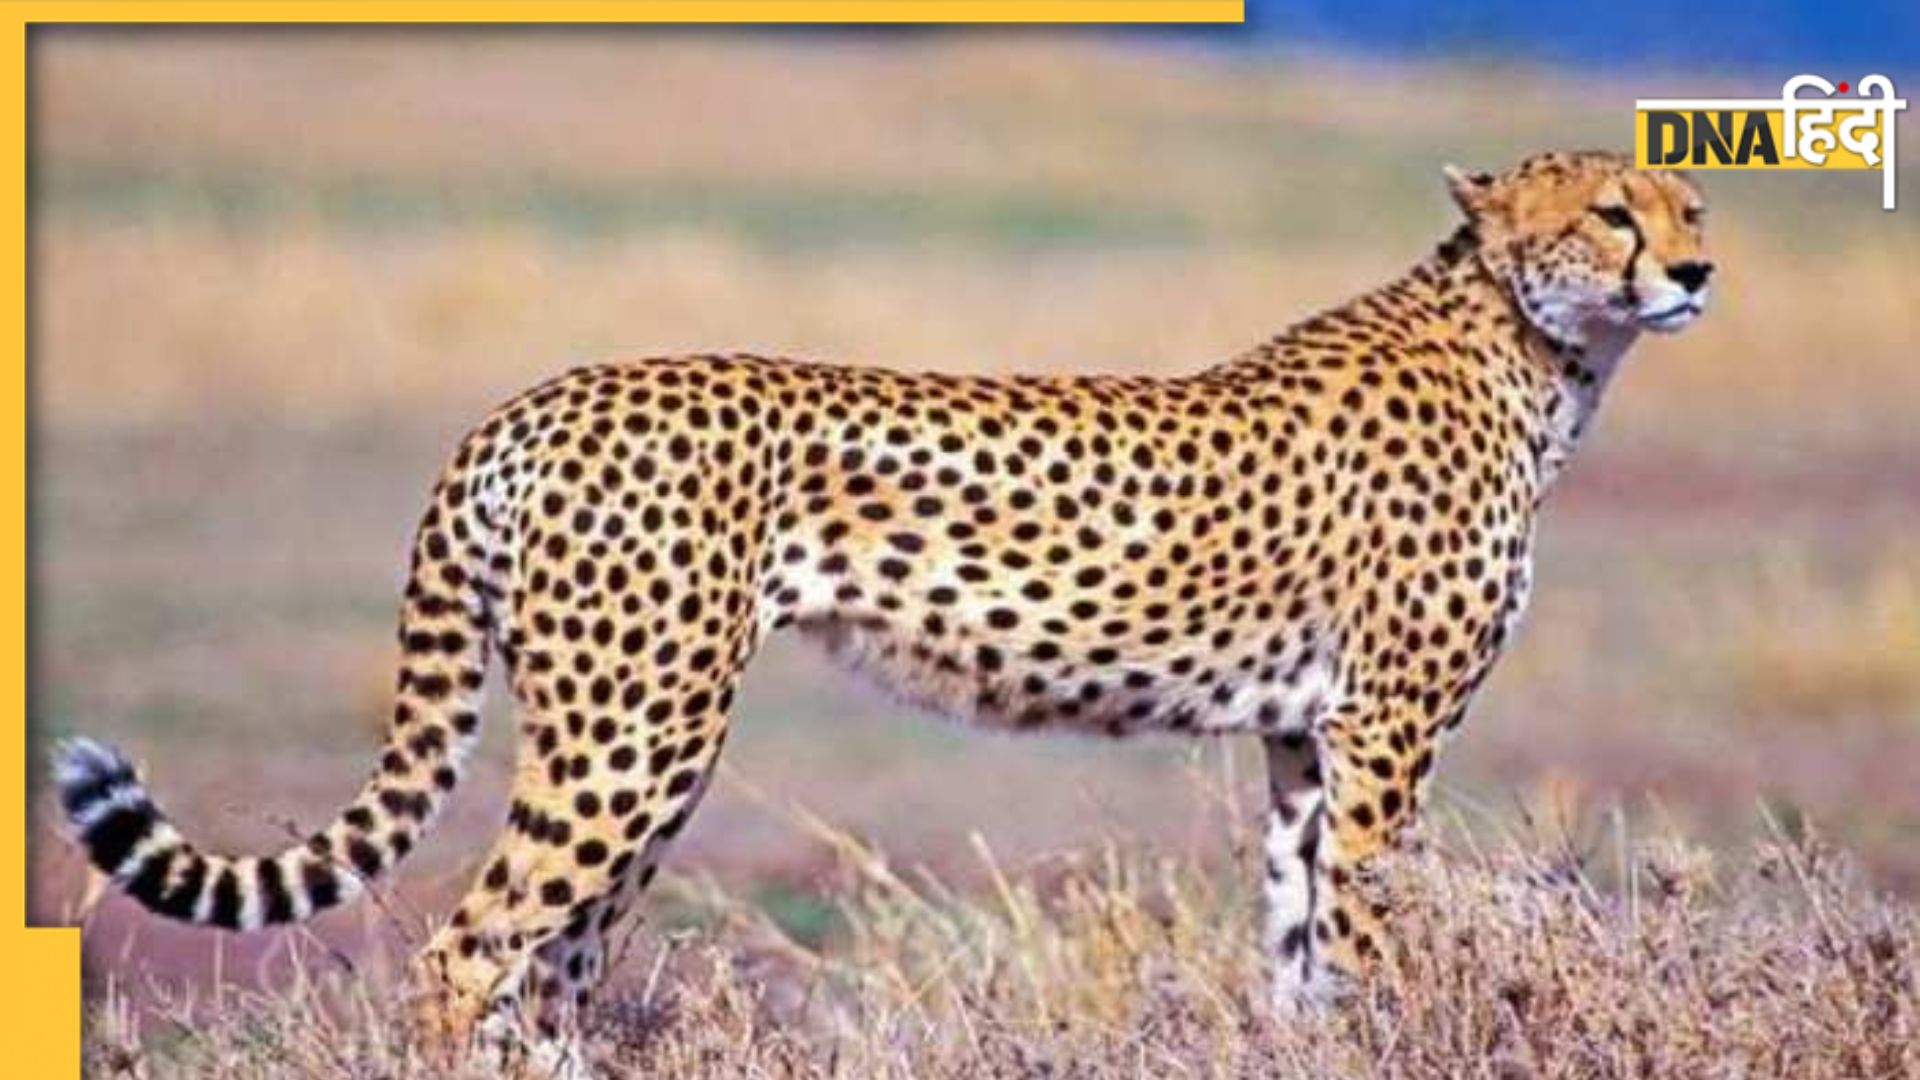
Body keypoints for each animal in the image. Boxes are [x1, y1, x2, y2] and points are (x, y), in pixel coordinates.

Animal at [53, 149, 1710, 1076]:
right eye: (1611, 214)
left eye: (1691, 200)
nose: (1697, 268)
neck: (1534, 351)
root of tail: (537, 396)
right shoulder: (1385, 737)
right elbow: (1373, 931)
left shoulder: (1309, 740)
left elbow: (1302, 939)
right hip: (636, 731)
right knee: (475, 948)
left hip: (633, 739)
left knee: (556, 958)